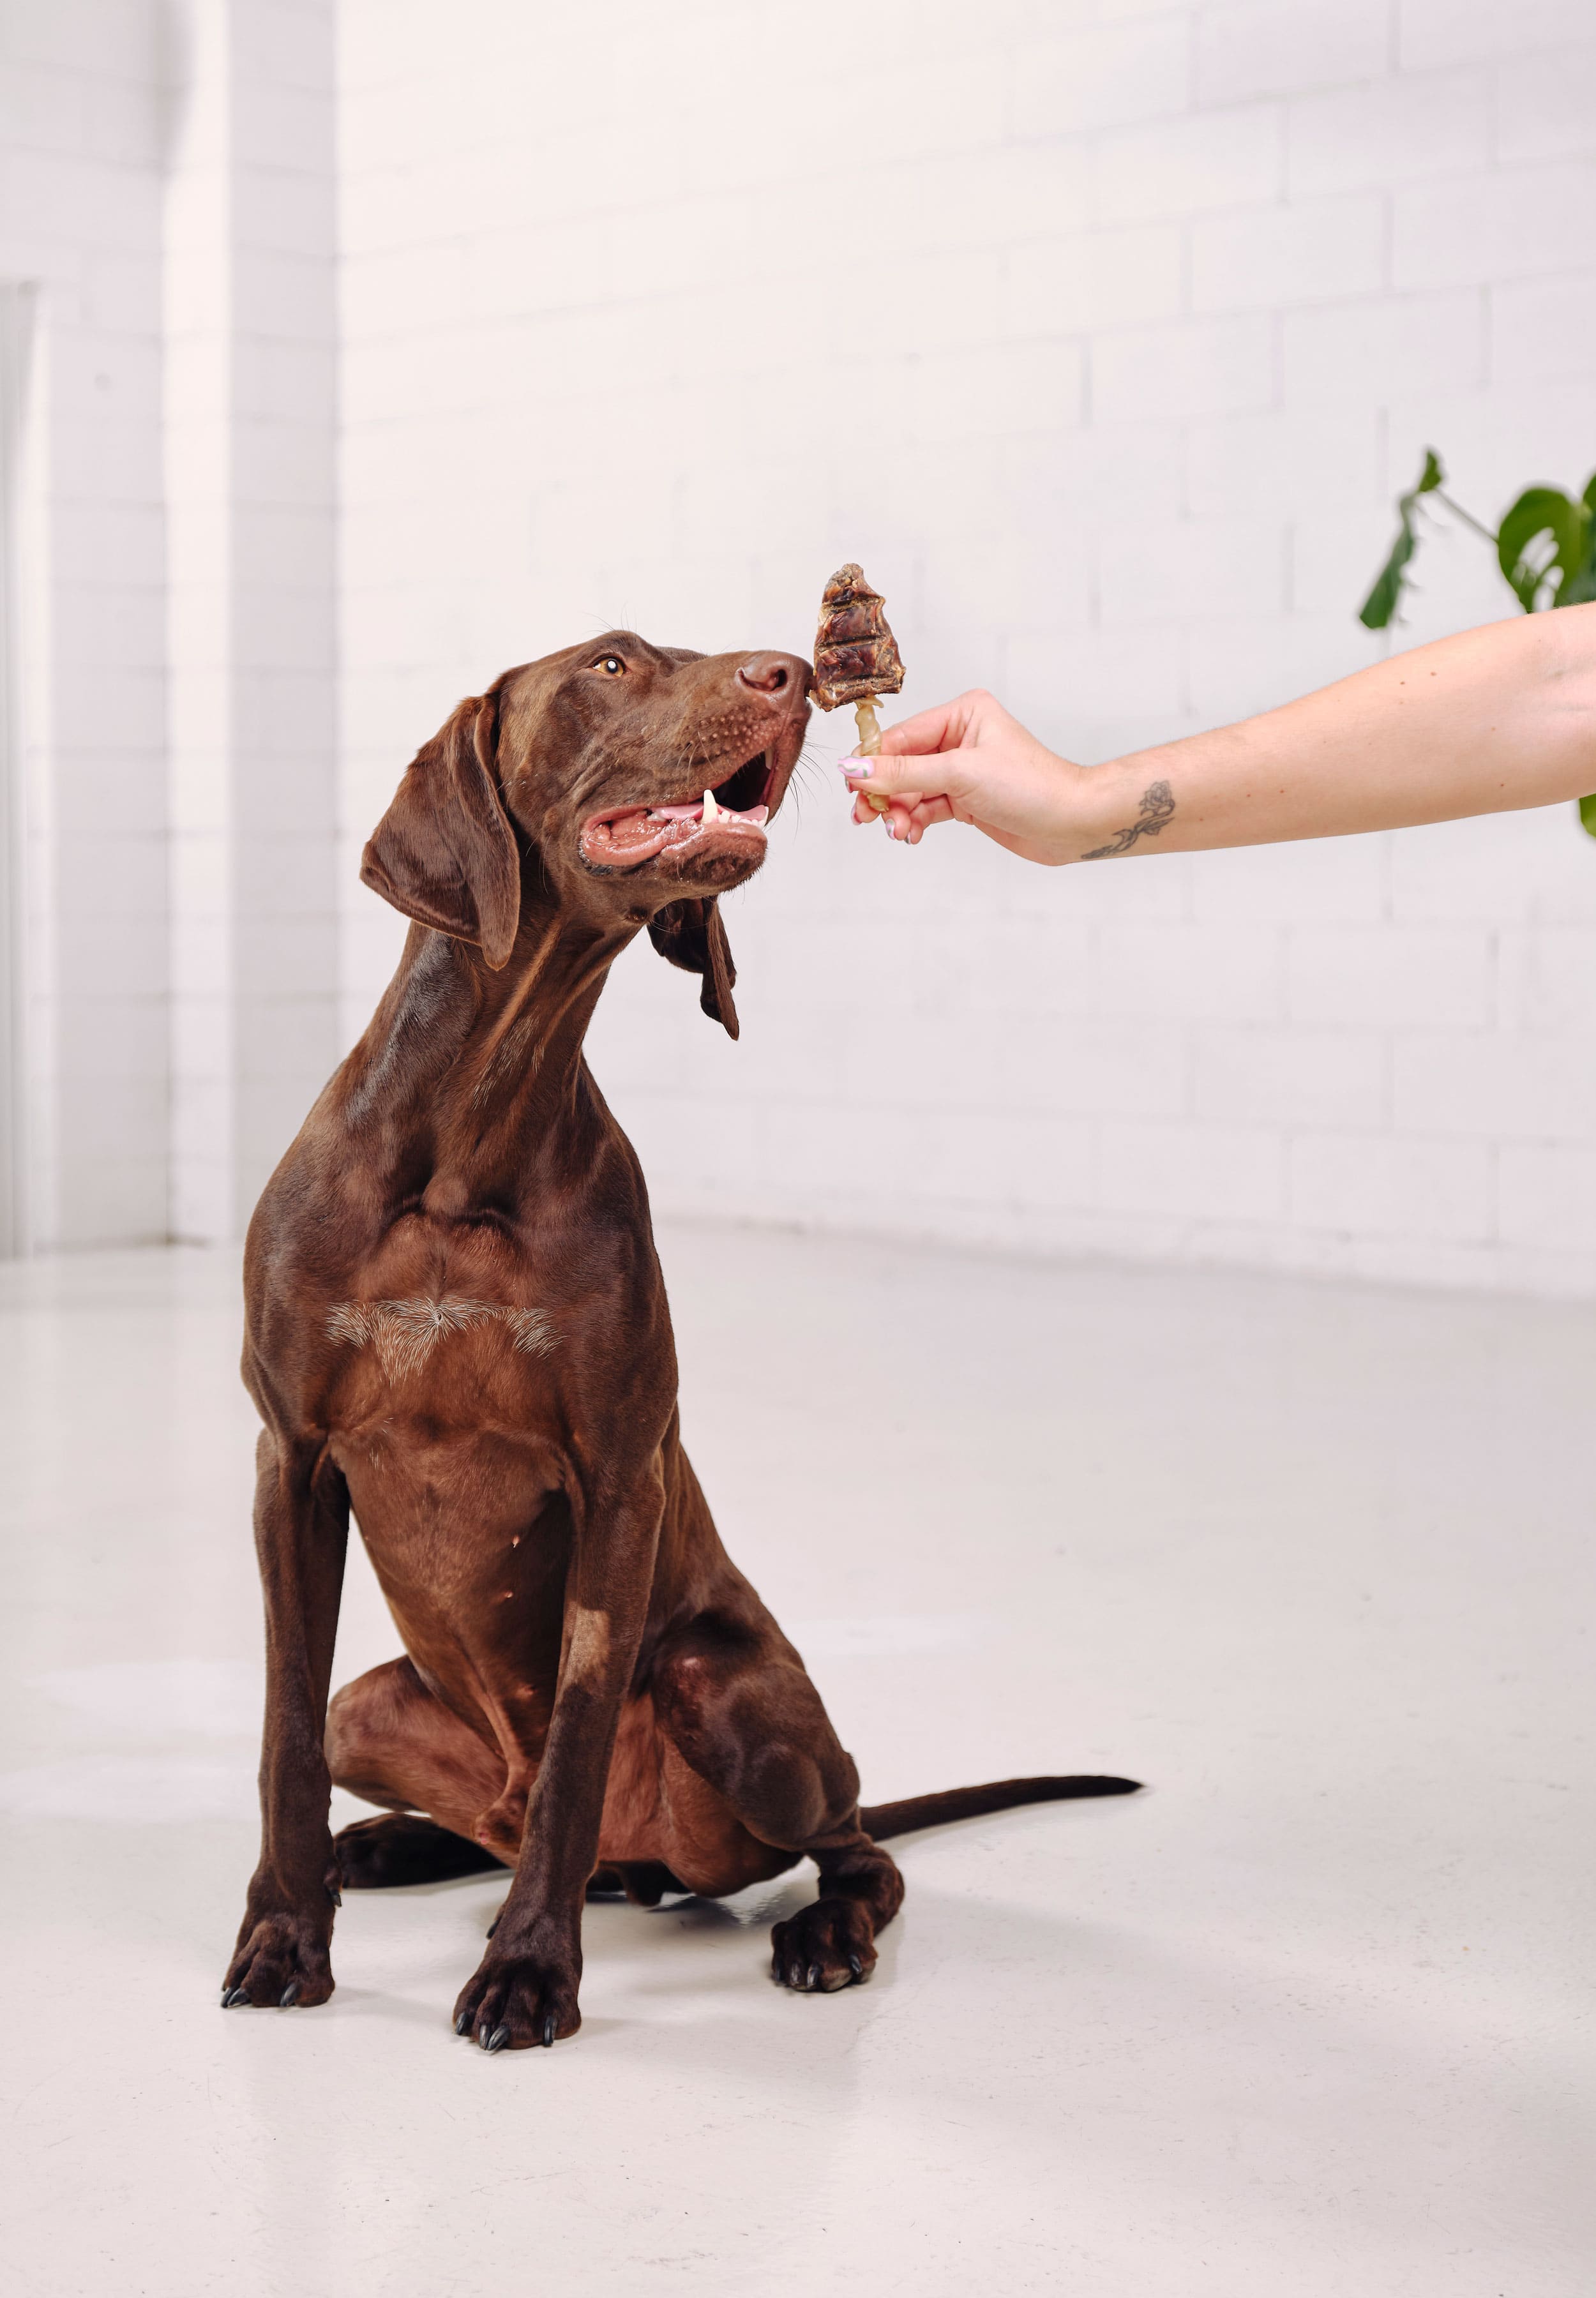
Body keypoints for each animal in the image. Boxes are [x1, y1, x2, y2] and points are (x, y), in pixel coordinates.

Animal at [222, 629, 1136, 2050]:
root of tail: (646, 1865)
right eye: (609, 664)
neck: (467, 1138)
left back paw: (817, 1929)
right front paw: (281, 1936)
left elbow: (577, 1746)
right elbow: (283, 1735)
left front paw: (528, 1972)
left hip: (731, 1696)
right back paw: (386, 1846)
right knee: (460, 1795)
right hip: (382, 1706)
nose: (791, 672)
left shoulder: (616, 1480)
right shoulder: (292, 1459)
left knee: (850, 1850)